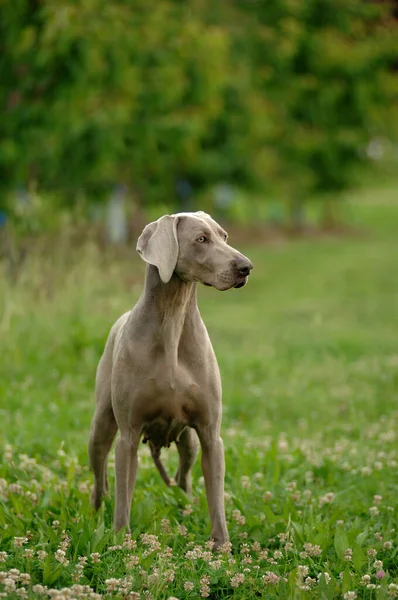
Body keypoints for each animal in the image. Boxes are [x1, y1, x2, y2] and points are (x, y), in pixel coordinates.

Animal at [88, 211, 253, 548]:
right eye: (201, 239)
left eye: (224, 236)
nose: (246, 267)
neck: (173, 319)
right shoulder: (129, 435)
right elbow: (124, 496)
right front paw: (121, 541)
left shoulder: (210, 434)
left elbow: (216, 497)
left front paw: (222, 546)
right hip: (101, 426)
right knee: (101, 478)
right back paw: (97, 512)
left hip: (189, 442)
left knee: (183, 476)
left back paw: (185, 504)